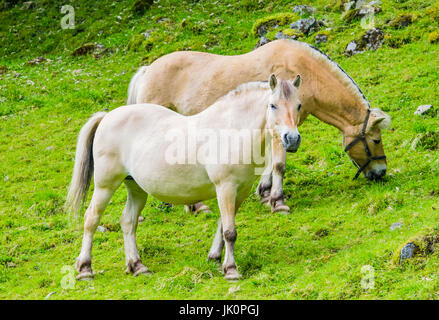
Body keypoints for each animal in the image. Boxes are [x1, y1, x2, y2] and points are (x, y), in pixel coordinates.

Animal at [67, 75, 304, 280]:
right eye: (273, 105)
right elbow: (229, 231)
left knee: (128, 221)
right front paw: (231, 269)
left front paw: (215, 258)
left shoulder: (240, 191)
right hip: (105, 186)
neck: (231, 130)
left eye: (299, 105)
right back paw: (85, 268)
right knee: (91, 218)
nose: (292, 139)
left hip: (136, 188)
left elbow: (222, 225)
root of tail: (107, 116)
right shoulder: (225, 188)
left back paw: (137, 266)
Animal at [127, 39, 392, 215]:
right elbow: (278, 163)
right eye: (376, 140)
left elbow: (270, 162)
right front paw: (277, 200)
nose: (381, 172)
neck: (303, 72)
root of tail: (146, 71)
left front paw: (265, 192)